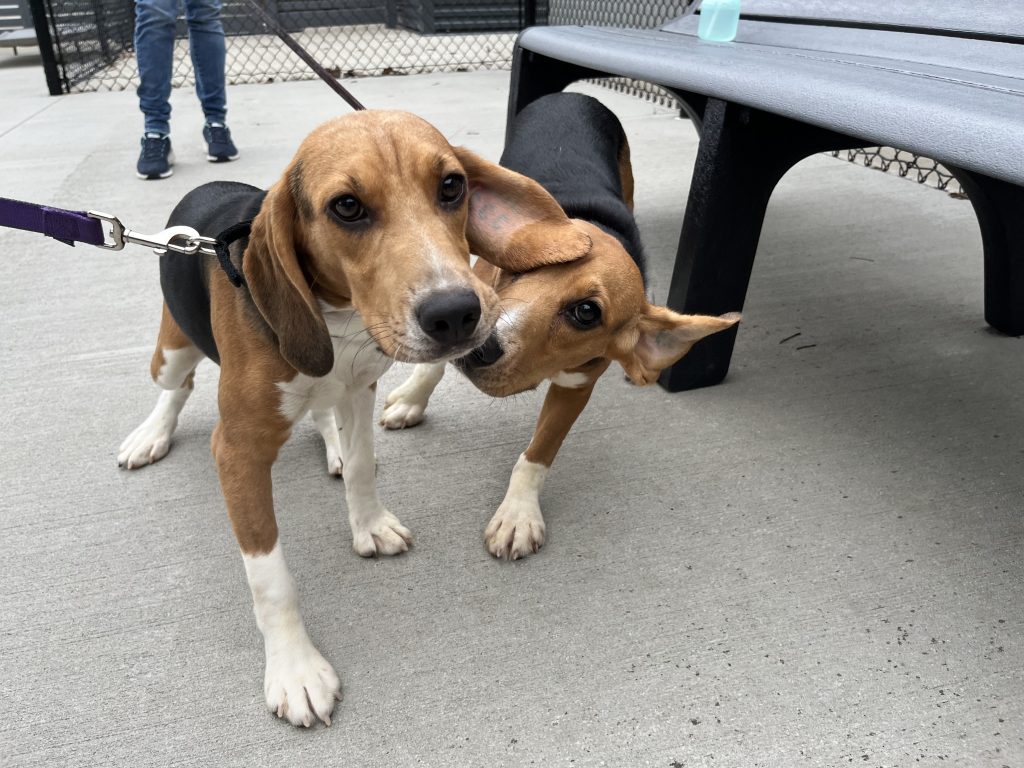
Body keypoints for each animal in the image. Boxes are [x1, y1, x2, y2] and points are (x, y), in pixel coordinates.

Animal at [117, 109, 594, 727]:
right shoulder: (239, 451)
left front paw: (368, 524)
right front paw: (295, 669)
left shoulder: (360, 388)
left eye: (452, 186)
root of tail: (203, 189)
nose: (456, 314)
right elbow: (271, 578)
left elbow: (364, 466)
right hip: (174, 347)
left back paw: (331, 446)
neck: (336, 317)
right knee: (175, 388)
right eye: (346, 206)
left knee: (320, 413)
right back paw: (151, 435)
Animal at [381, 93, 740, 561]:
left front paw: (518, 514)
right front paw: (411, 399)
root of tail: (574, 95)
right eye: (519, 267)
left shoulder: (576, 387)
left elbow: (538, 453)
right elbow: (433, 361)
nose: (480, 348)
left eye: (587, 312)